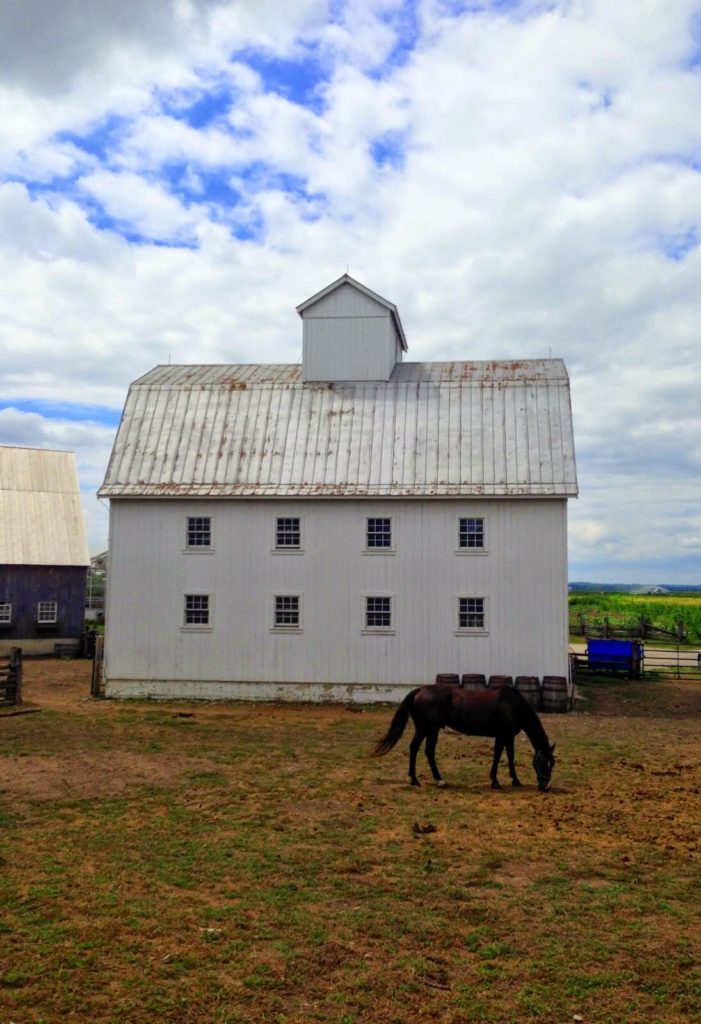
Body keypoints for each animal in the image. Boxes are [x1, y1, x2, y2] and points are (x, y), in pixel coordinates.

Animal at [374, 688, 556, 790]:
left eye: (552, 763)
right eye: (542, 762)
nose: (546, 787)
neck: (512, 704)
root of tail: (419, 691)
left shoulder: (509, 736)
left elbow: (510, 757)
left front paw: (515, 780)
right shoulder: (502, 735)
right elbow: (497, 756)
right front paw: (495, 781)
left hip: (432, 730)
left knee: (427, 751)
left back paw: (435, 780)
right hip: (426, 729)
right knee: (416, 748)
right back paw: (417, 779)